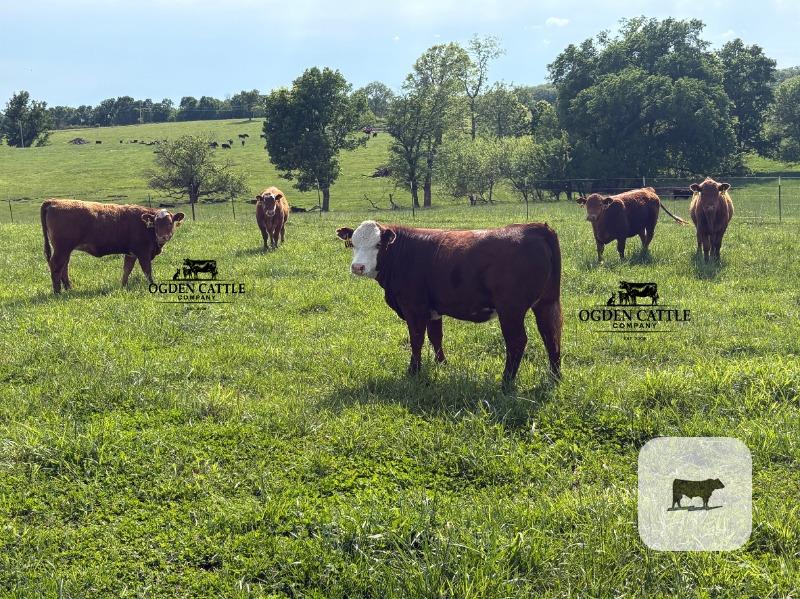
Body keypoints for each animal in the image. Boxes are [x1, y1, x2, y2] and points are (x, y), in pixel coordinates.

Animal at [40, 199, 184, 294]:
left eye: (170, 223)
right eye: (156, 223)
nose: (162, 237)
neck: (145, 226)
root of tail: (54, 201)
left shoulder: (131, 254)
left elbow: (126, 270)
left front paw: (123, 287)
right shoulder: (143, 253)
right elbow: (147, 271)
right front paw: (153, 286)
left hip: (65, 250)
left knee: (64, 267)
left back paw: (69, 289)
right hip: (62, 249)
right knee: (56, 266)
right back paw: (58, 292)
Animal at [335, 221, 562, 387]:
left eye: (378, 245)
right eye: (353, 244)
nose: (357, 267)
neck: (402, 254)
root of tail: (537, 228)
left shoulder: (414, 308)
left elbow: (416, 340)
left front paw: (413, 371)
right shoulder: (433, 310)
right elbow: (436, 337)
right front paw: (442, 364)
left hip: (511, 309)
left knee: (517, 341)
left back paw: (506, 382)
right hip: (547, 302)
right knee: (551, 335)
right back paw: (555, 377)